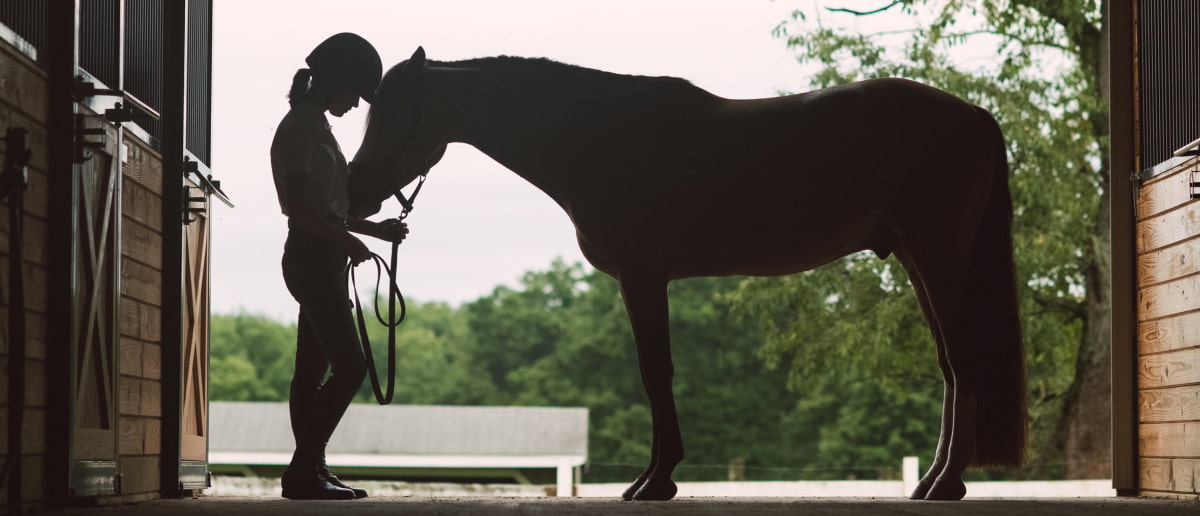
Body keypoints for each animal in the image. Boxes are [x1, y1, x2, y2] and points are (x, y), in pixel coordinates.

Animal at [348, 47, 1022, 499]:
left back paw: (946, 484)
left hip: (936, 255)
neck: (598, 139)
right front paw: (654, 477)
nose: (353, 192)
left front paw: (656, 480)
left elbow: (656, 373)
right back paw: (934, 481)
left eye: (390, 116)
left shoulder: (643, 275)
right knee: (950, 365)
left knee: (963, 360)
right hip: (917, 258)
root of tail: (973, 115)